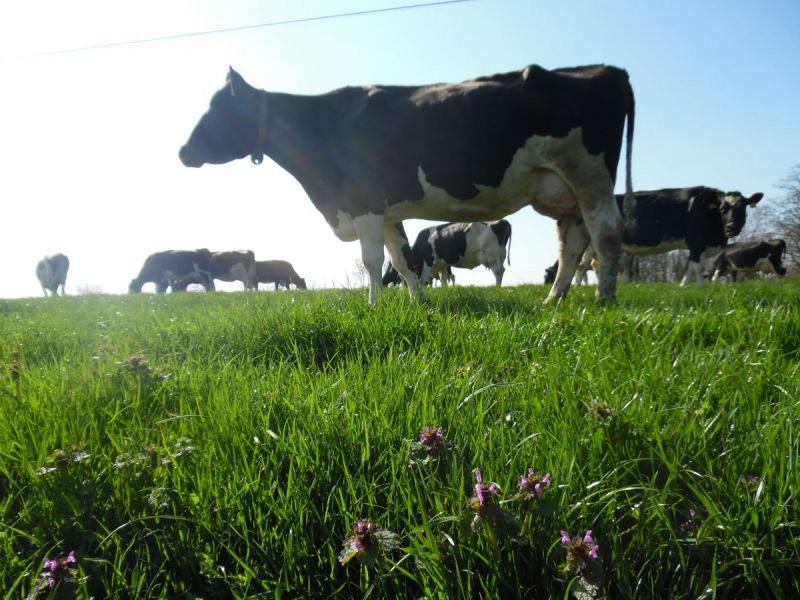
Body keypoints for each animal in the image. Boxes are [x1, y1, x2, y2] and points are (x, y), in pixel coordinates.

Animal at [178, 64, 636, 304]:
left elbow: (371, 261)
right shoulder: (386, 212)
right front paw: (419, 303)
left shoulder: (363, 202)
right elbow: (401, 260)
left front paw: (373, 306)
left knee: (605, 233)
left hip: (590, 174)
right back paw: (553, 301)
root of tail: (608, 70)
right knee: (572, 247)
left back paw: (603, 301)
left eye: (218, 109)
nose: (183, 152)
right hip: (564, 192)